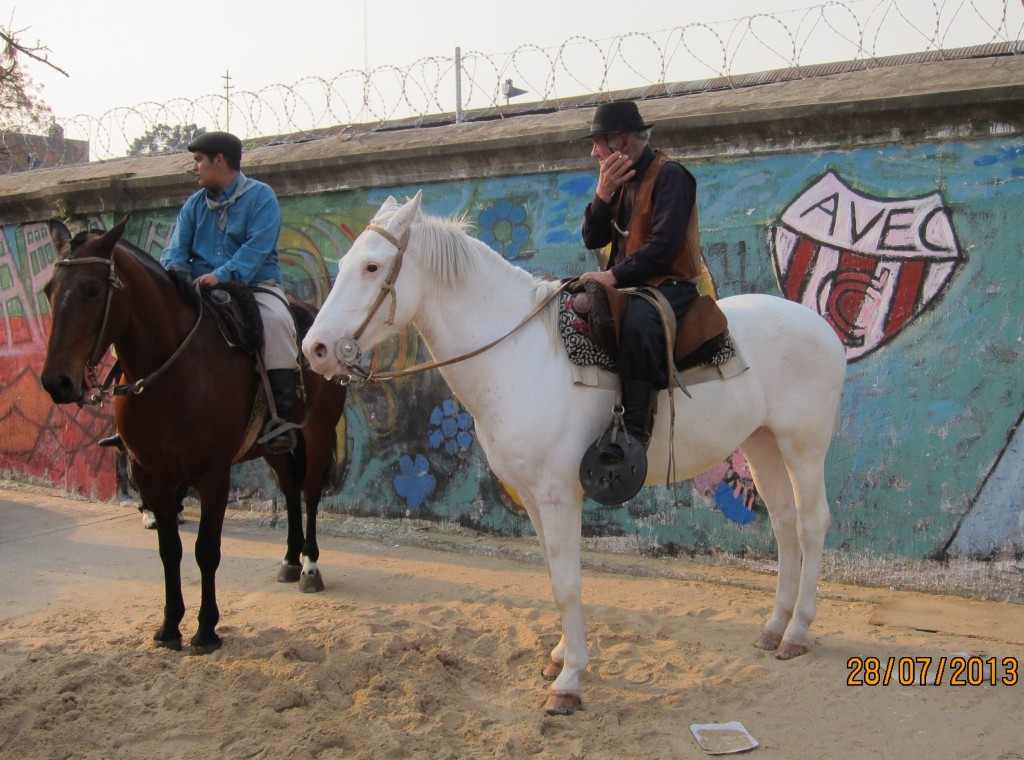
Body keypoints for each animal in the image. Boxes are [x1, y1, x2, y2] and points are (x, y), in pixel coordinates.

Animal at [41, 219, 346, 655]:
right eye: (49, 289)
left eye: (92, 289)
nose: (57, 382)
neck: (172, 370)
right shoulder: (149, 474)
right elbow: (170, 551)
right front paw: (170, 626)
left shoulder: (213, 475)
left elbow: (206, 551)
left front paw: (206, 629)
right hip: (272, 447)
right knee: (289, 489)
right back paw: (289, 559)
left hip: (318, 431)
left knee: (309, 493)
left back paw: (309, 564)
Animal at [299, 193, 843, 716]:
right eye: (345, 263)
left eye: (372, 267)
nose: (316, 350)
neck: (520, 356)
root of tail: (822, 328)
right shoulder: (534, 498)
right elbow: (553, 577)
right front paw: (562, 656)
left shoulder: (559, 495)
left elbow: (567, 584)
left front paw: (570, 681)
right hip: (762, 443)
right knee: (785, 524)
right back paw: (775, 626)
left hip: (803, 445)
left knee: (811, 524)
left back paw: (797, 632)